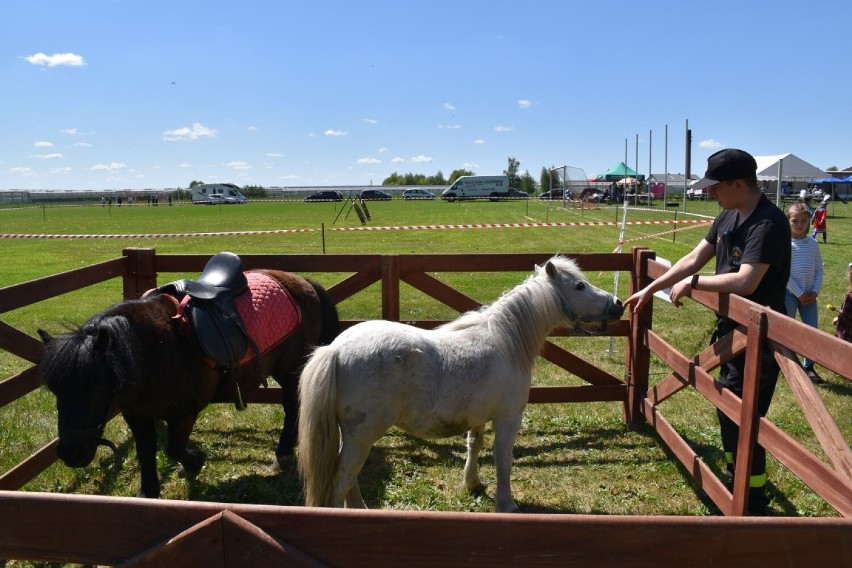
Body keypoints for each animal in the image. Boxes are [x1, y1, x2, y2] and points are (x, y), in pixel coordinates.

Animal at [39, 266, 340, 496]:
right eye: (54, 390)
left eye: (96, 388)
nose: (71, 452)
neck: (154, 350)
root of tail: (303, 282)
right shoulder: (136, 414)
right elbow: (146, 452)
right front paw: (149, 492)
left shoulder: (184, 413)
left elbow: (173, 447)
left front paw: (194, 462)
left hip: (290, 370)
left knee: (291, 406)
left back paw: (283, 453)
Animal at [296, 255, 624, 512]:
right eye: (579, 286)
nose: (619, 305)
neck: (506, 341)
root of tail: (335, 350)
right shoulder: (508, 418)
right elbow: (503, 459)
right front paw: (506, 503)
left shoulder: (477, 417)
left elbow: (474, 447)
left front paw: (473, 483)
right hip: (362, 437)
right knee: (342, 478)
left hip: (351, 436)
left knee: (348, 477)